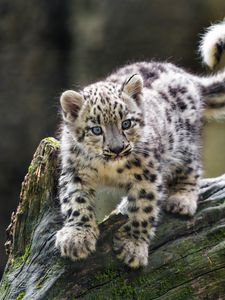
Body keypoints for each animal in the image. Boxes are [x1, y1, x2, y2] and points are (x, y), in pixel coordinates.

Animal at [55, 22, 225, 268]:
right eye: (96, 129)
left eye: (126, 123)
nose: (117, 148)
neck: (108, 169)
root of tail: (188, 76)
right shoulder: (75, 171)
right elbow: (76, 201)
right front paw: (77, 237)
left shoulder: (147, 176)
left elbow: (144, 210)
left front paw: (133, 247)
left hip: (183, 143)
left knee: (192, 166)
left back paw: (181, 199)